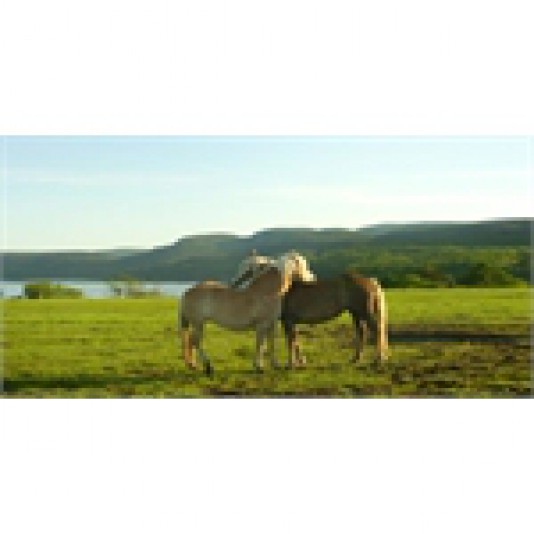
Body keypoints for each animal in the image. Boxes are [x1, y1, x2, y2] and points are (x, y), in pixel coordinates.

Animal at [182, 254, 316, 376]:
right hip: (198, 323)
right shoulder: (262, 325)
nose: (312, 278)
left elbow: (271, 344)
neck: (268, 292)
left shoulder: (271, 325)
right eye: (304, 265)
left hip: (197, 324)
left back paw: (193, 365)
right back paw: (208, 367)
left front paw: (276, 365)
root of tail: (187, 292)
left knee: (191, 341)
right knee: (196, 341)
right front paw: (259, 367)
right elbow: (260, 345)